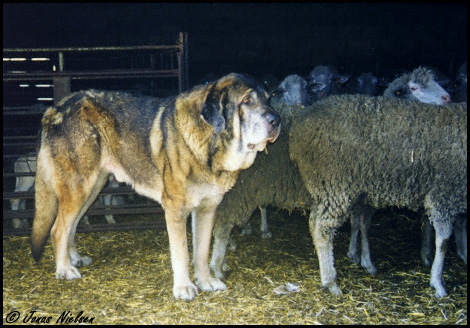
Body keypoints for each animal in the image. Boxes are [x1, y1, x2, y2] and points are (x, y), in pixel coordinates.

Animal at [31, 73, 280, 300]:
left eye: (270, 98)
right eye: (247, 101)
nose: (277, 120)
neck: (210, 141)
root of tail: (56, 108)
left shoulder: (208, 208)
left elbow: (202, 251)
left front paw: (205, 281)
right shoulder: (176, 208)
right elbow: (182, 252)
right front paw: (184, 287)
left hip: (92, 188)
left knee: (72, 225)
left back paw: (74, 259)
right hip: (79, 186)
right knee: (58, 229)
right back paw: (64, 269)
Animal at [290, 94, 466, 298]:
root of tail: (299, 126)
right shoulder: (443, 195)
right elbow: (443, 241)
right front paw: (437, 282)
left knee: (315, 223)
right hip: (334, 186)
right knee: (322, 229)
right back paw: (331, 281)